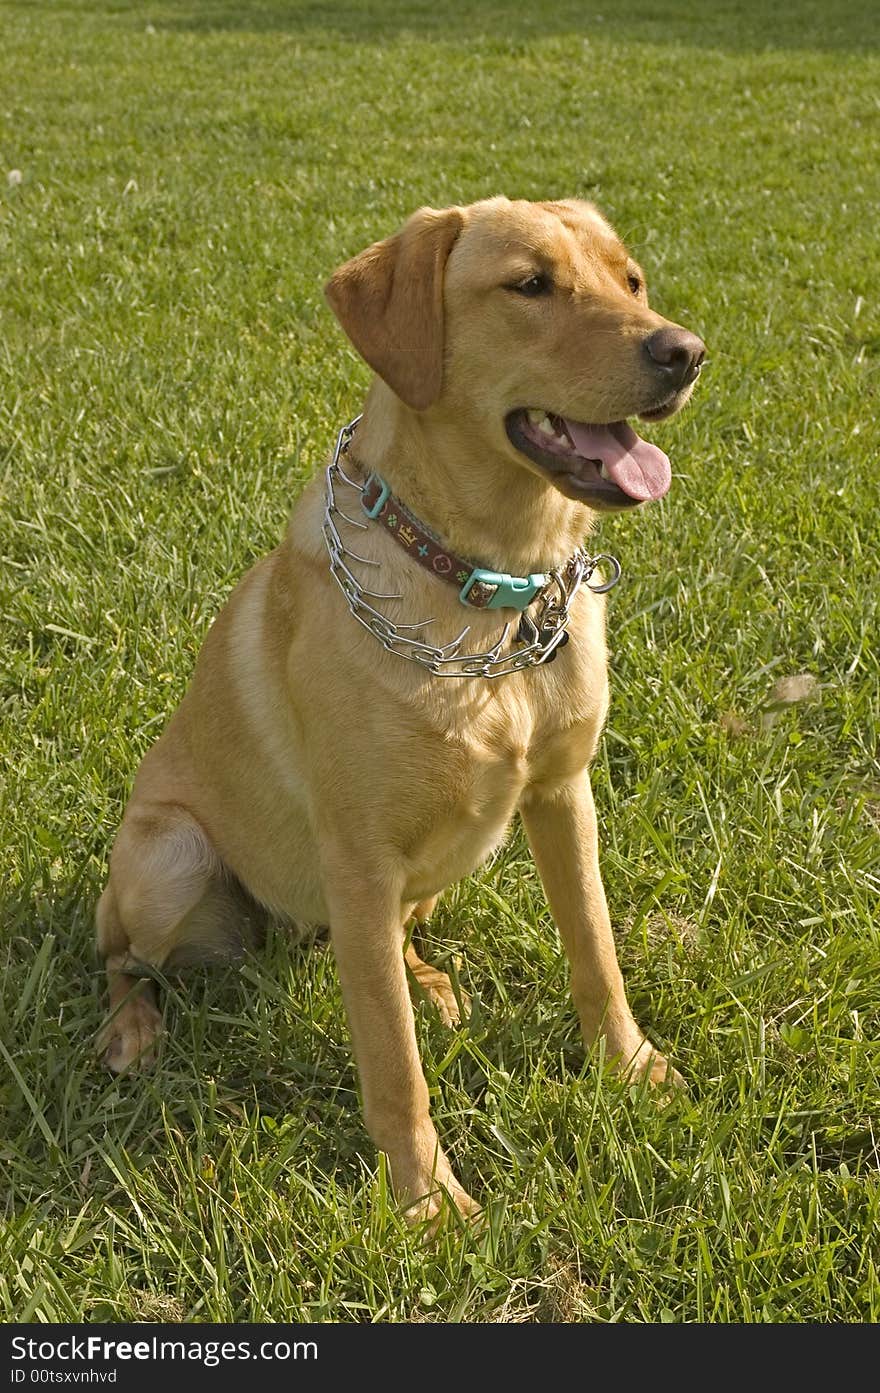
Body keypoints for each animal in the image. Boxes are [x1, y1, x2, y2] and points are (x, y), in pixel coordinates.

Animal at [96, 193, 704, 1220]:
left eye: (631, 279)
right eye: (531, 284)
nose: (686, 352)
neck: (490, 594)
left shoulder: (563, 793)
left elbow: (597, 951)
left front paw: (630, 1069)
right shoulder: (360, 856)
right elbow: (392, 1062)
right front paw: (426, 1204)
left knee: (395, 939)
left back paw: (430, 982)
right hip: (166, 858)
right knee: (117, 959)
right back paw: (132, 1028)